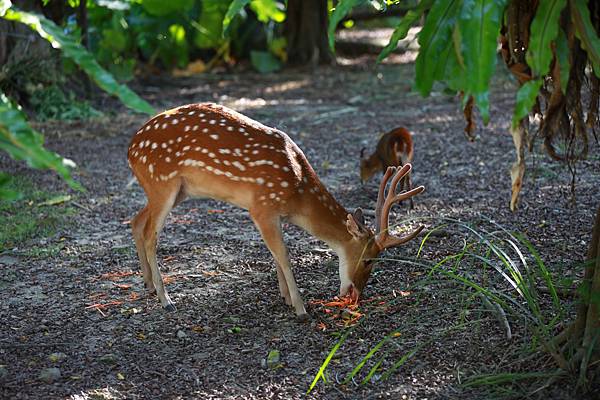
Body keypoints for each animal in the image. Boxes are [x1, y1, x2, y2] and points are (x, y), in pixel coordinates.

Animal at [128, 104, 424, 322]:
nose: (356, 295)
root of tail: (131, 150)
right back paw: (166, 300)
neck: (297, 194)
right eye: (369, 260)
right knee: (151, 233)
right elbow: (283, 254)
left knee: (136, 221)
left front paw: (285, 297)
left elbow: (275, 254)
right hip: (162, 181)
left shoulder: (274, 214)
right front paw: (301, 308)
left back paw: (149, 285)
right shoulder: (261, 206)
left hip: (175, 190)